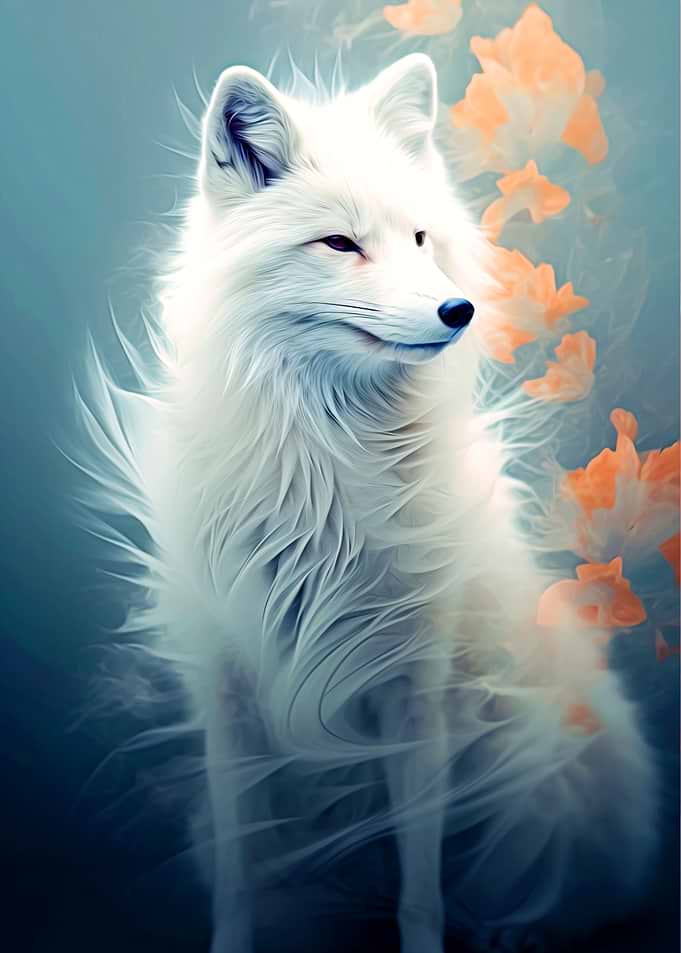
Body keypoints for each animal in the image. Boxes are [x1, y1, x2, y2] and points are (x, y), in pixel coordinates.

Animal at [81, 54, 658, 953]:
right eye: (340, 243)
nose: (458, 311)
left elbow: (418, 891)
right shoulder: (227, 695)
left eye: (420, 240)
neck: (320, 474)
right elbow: (240, 877)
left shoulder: (414, 687)